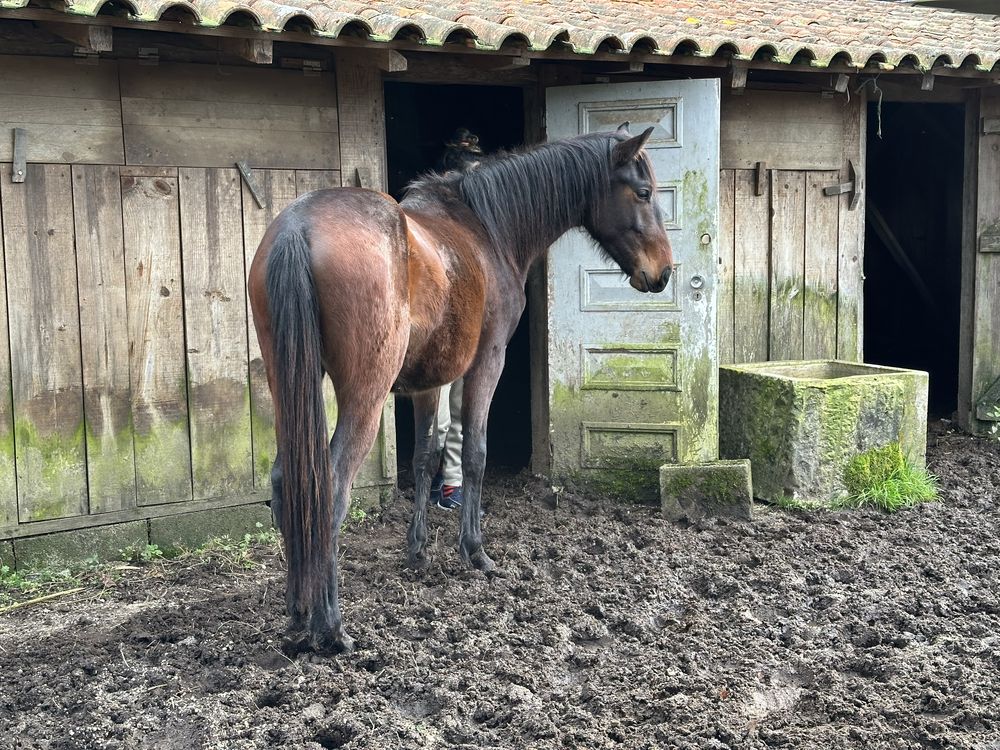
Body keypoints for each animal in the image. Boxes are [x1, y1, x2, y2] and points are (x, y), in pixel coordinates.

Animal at [248, 125, 672, 656]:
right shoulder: (487, 362)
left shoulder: (429, 381)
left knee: (285, 482)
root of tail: (297, 227)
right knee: (332, 487)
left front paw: (417, 551)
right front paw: (475, 551)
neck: (486, 229)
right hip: (365, 394)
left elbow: (425, 457)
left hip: (287, 386)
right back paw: (332, 628)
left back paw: (298, 613)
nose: (664, 273)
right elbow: (474, 453)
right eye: (644, 192)